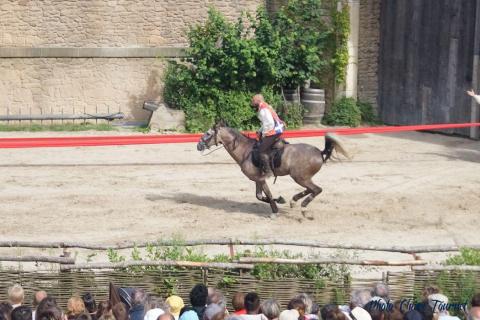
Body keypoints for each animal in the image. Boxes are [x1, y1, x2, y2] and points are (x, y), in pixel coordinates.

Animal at [197, 122, 350, 218]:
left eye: (208, 133)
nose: (198, 145)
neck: (245, 151)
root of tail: (319, 152)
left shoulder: (261, 179)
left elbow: (268, 195)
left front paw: (275, 210)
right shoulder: (257, 179)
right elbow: (259, 196)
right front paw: (280, 200)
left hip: (300, 177)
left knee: (316, 190)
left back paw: (303, 208)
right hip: (302, 178)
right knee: (311, 189)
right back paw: (294, 200)